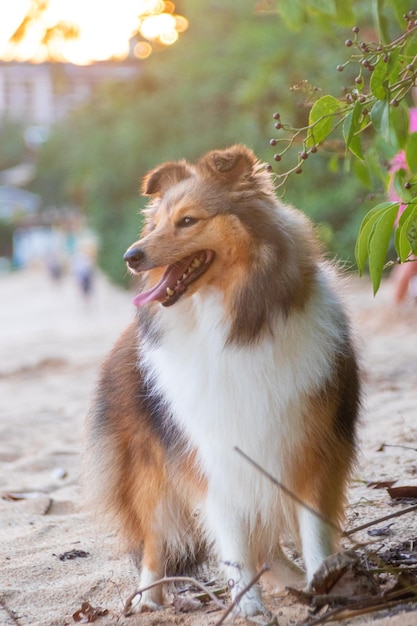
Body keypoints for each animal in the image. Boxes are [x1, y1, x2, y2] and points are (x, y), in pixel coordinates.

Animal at [83, 143, 358, 616]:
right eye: (156, 224)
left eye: (188, 221)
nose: (130, 256)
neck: (229, 326)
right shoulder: (211, 455)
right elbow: (231, 536)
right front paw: (247, 606)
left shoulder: (310, 445)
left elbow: (313, 530)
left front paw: (323, 586)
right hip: (149, 469)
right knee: (155, 539)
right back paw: (149, 599)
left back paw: (294, 579)